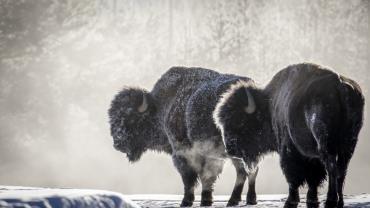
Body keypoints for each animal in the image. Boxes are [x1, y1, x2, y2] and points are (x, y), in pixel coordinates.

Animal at [110, 67, 258, 206]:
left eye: (131, 118)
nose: (117, 143)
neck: (161, 106)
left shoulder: (185, 154)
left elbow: (194, 179)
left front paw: (190, 201)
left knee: (245, 171)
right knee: (247, 171)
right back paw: (243, 200)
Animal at [214, 63, 364, 208]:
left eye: (240, 121)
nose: (230, 149)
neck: (269, 105)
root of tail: (340, 85)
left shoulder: (289, 149)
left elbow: (293, 176)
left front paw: (291, 201)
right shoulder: (310, 155)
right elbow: (313, 178)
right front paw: (311, 200)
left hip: (326, 143)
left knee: (331, 166)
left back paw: (331, 201)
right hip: (349, 145)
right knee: (341, 170)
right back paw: (340, 202)